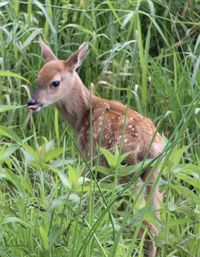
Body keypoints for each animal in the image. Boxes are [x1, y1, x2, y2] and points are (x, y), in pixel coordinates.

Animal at [27, 39, 164, 255]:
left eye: (55, 82)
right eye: (37, 78)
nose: (32, 101)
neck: (83, 114)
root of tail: (152, 146)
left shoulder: (91, 160)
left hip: (126, 169)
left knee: (146, 220)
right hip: (152, 172)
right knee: (156, 217)